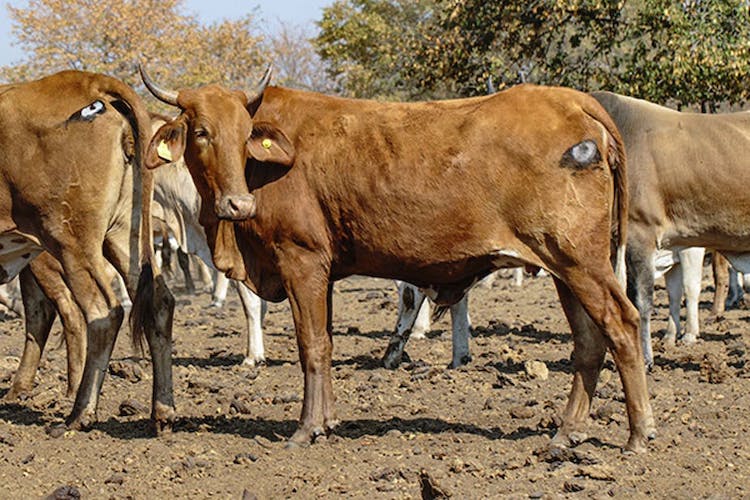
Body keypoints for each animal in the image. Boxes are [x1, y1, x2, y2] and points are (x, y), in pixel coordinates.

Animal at [0, 70, 175, 434]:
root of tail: (89, 81)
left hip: (69, 241)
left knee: (99, 312)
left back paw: (79, 412)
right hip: (123, 234)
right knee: (159, 302)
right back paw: (162, 412)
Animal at [142, 64, 656, 452]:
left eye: (246, 133)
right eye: (201, 132)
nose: (238, 204)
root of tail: (571, 100)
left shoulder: (301, 261)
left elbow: (311, 346)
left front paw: (305, 429)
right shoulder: (323, 271)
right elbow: (326, 343)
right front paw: (327, 420)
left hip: (579, 260)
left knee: (621, 323)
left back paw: (638, 433)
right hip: (564, 267)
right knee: (589, 342)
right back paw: (566, 431)